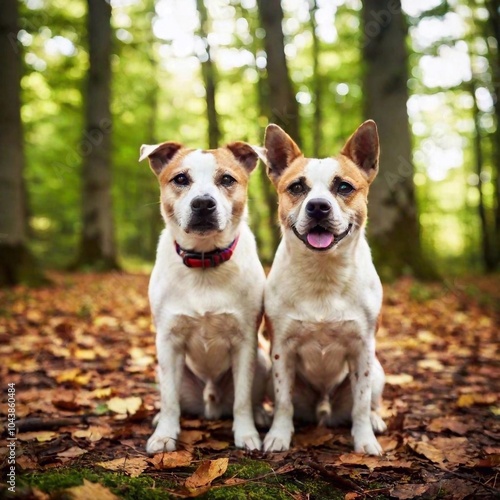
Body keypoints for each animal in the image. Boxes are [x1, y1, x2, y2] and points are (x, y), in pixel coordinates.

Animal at [141, 140, 270, 454]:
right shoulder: (168, 341)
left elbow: (242, 399)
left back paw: (260, 414)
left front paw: (246, 433)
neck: (204, 261)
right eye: (180, 179)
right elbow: (170, 400)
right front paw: (164, 434)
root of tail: (211, 403)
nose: (202, 203)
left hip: (262, 361)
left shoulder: (245, 342)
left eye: (226, 179)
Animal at [260, 121, 388, 458]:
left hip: (378, 371)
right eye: (296, 187)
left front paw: (365, 439)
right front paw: (278, 435)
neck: (323, 274)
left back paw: (376, 420)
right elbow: (283, 402)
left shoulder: (363, 349)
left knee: (368, 401)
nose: (318, 207)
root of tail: (324, 405)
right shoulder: (281, 349)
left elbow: (360, 404)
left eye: (343, 187)